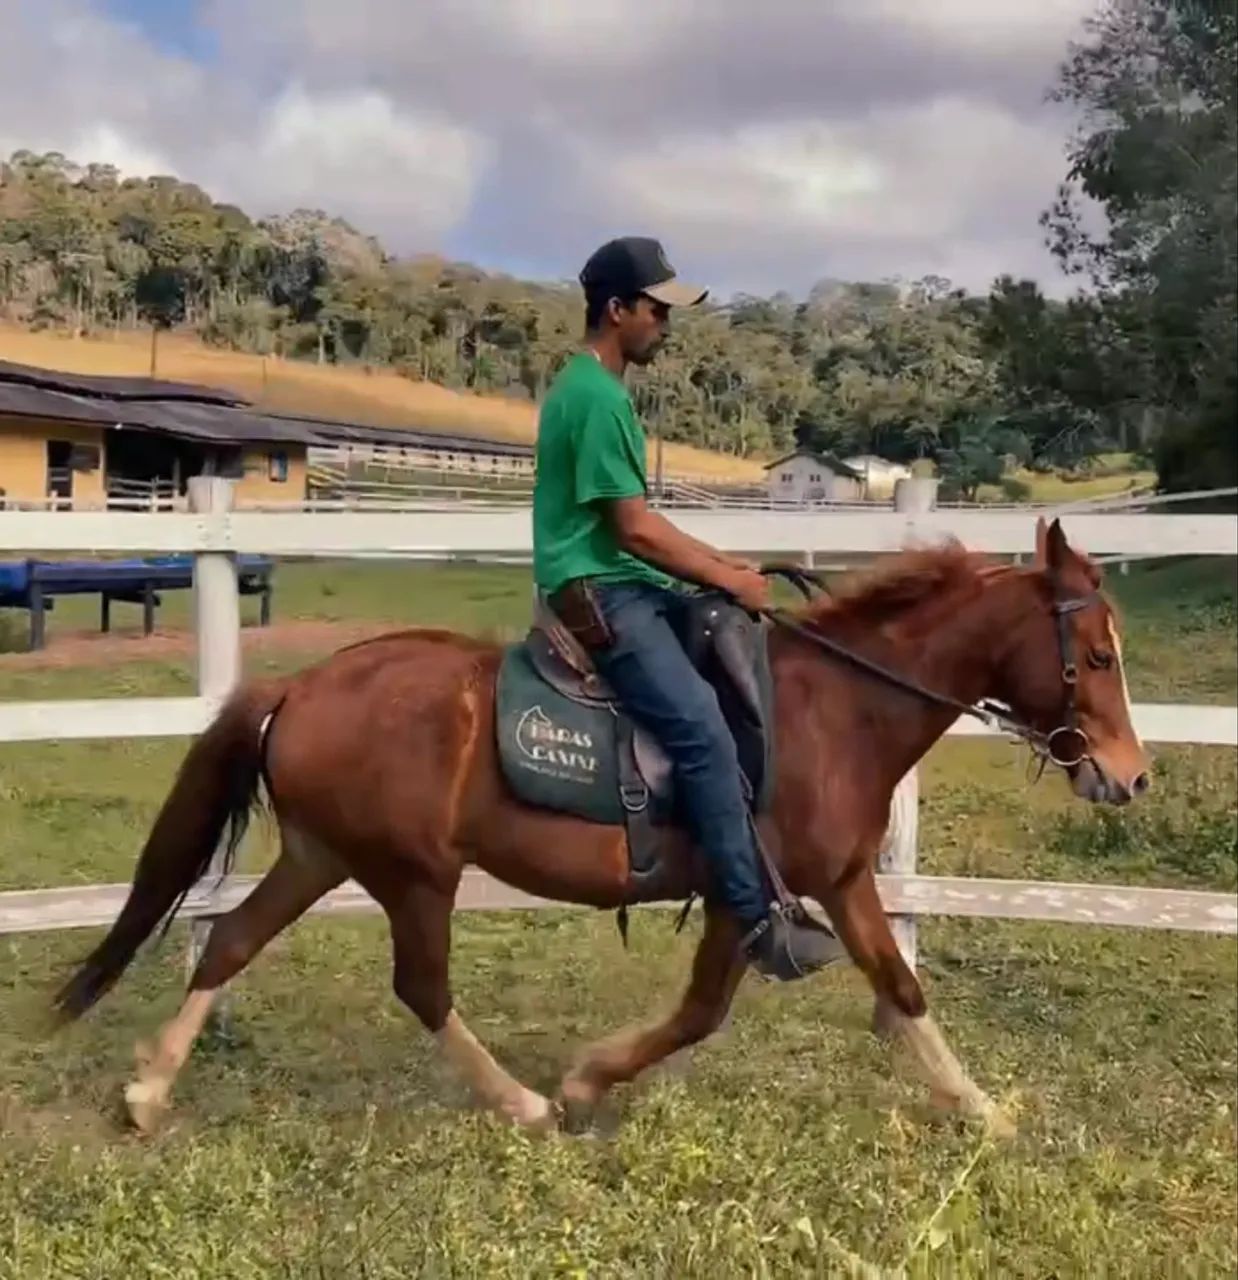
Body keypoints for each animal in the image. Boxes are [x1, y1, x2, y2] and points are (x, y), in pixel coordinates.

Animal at [50, 517, 1149, 1137]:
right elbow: (724, 1008)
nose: (1130, 776)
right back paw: (525, 1104)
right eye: (1095, 655)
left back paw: (147, 1094)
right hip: (412, 873)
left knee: (231, 939)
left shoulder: (820, 883)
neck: (834, 710)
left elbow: (884, 986)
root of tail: (302, 684)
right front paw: (584, 1082)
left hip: (324, 855)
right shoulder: (765, 891)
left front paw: (982, 1110)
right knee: (421, 987)